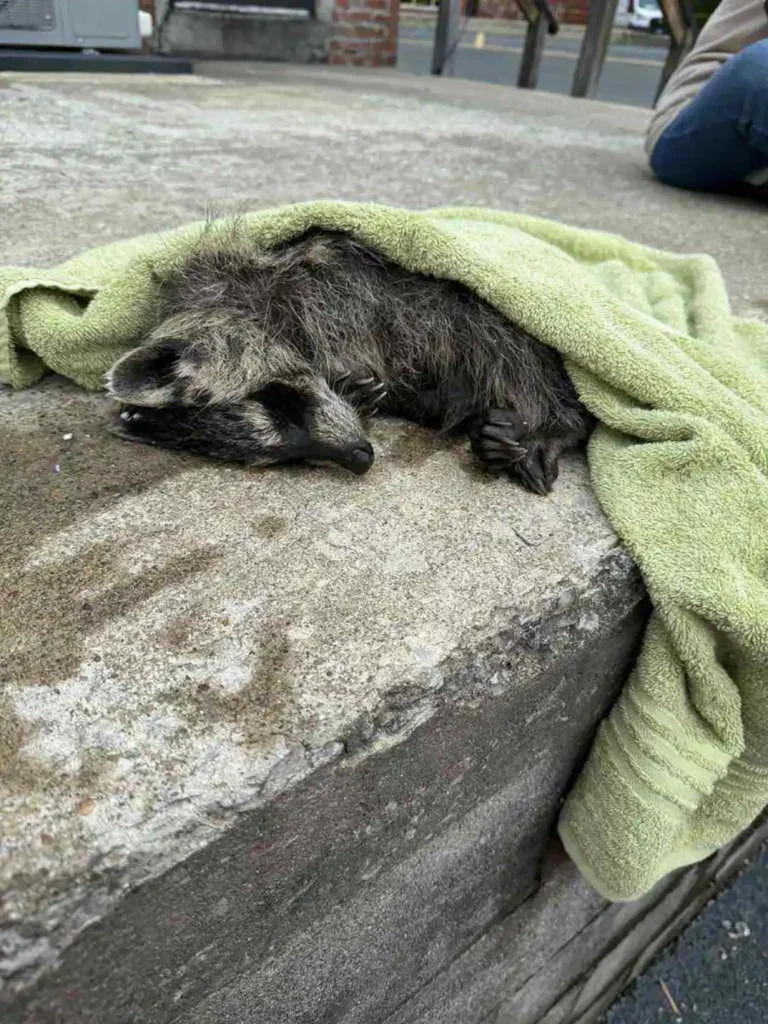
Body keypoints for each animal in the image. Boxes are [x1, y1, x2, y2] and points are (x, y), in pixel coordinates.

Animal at [107, 227, 593, 494]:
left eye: (277, 399)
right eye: (285, 456)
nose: (359, 457)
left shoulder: (336, 286)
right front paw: (360, 391)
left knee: (514, 350)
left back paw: (557, 425)